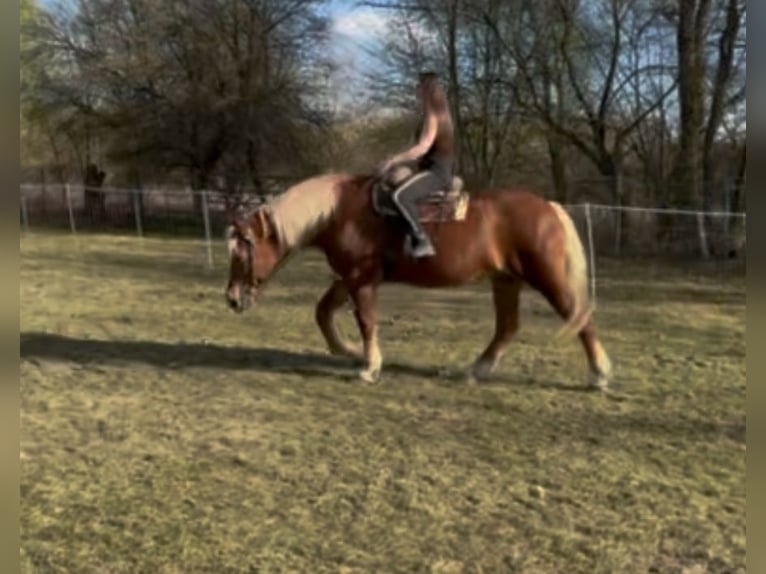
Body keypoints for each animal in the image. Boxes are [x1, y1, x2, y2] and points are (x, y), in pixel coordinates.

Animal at [224, 171, 612, 389]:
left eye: (242, 251)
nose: (231, 298)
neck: (342, 214)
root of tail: (549, 207)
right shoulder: (346, 279)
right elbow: (322, 312)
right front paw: (349, 351)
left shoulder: (361, 280)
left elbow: (366, 322)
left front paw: (369, 368)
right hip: (505, 280)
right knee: (507, 327)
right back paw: (475, 371)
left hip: (546, 278)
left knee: (580, 318)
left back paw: (599, 375)